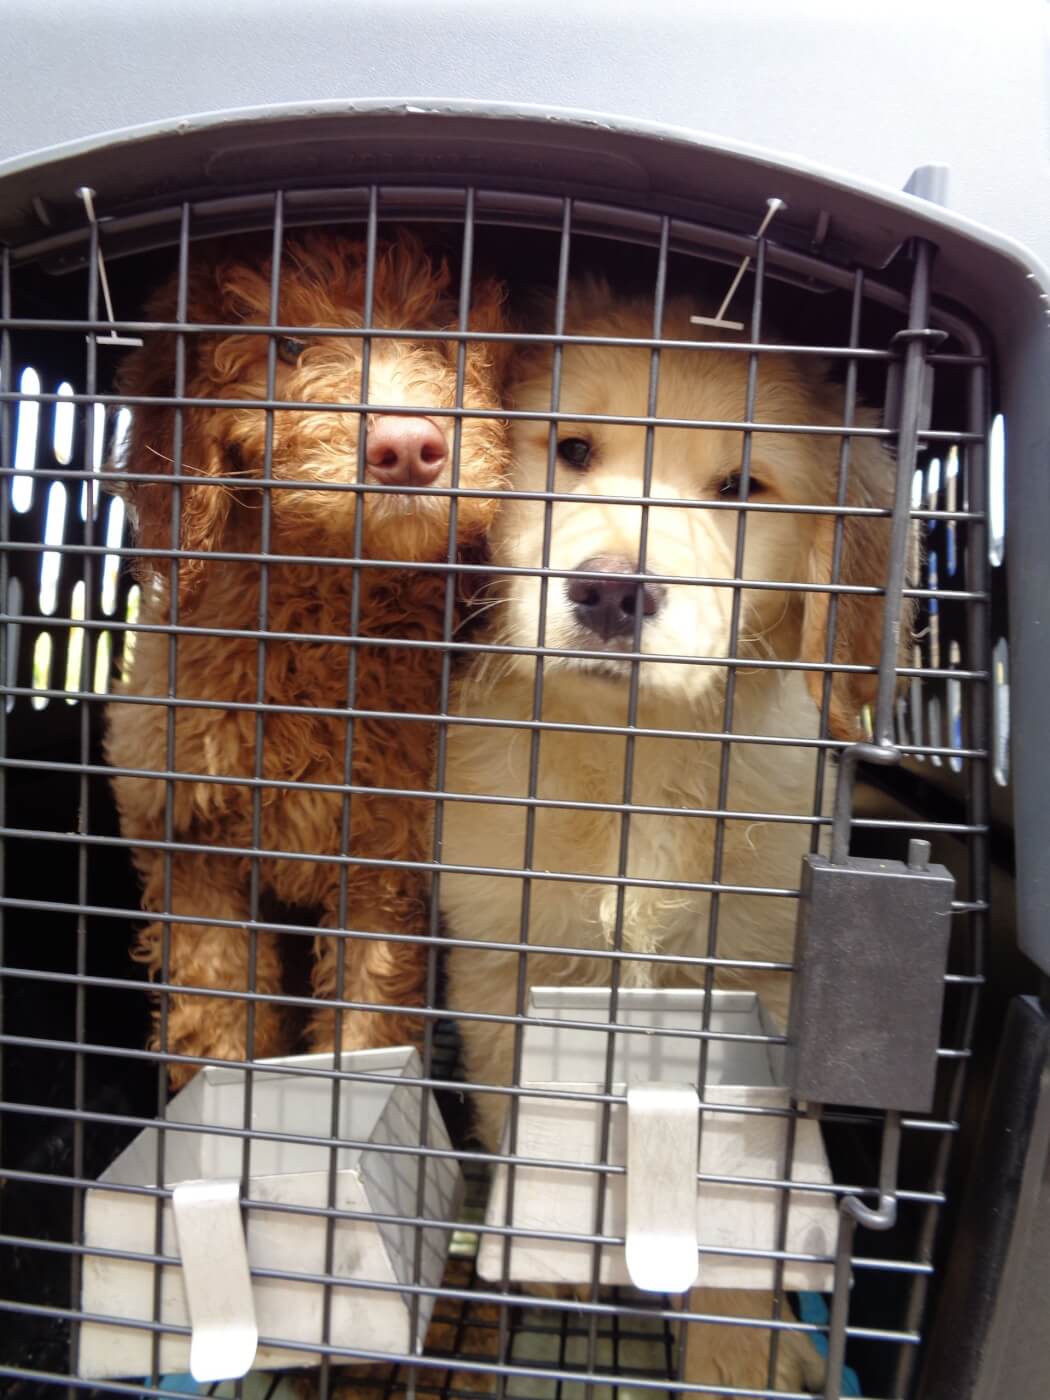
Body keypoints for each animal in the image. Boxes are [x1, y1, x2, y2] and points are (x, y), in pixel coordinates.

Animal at [107, 229, 515, 1086]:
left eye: (442, 333)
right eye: (289, 345)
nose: (408, 447)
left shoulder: (387, 863)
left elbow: (366, 1019)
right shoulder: (192, 845)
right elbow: (214, 1013)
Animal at [445, 284, 896, 1388]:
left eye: (741, 485)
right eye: (570, 449)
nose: (611, 589)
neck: (635, 755)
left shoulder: (758, 999)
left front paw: (737, 1353)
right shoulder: (501, 964)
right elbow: (526, 1115)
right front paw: (554, 1261)